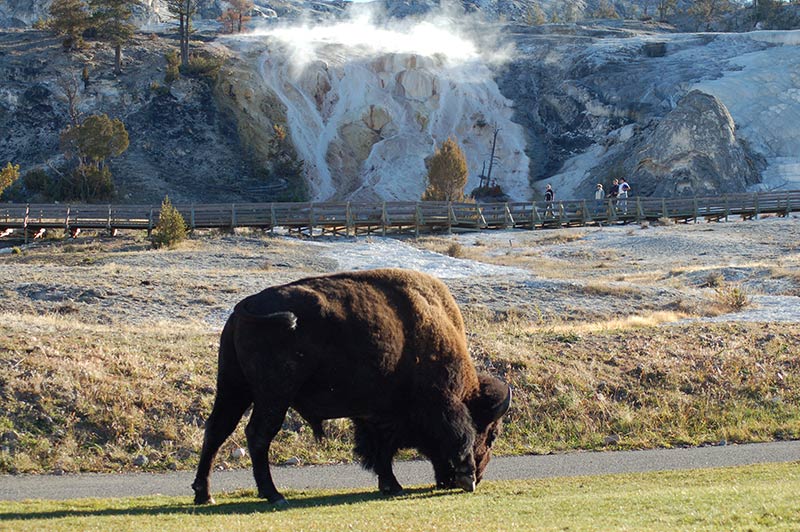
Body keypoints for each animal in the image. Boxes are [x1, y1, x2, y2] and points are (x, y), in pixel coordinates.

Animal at [191, 268, 510, 504]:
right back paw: (274, 495)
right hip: (274, 395)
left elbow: (381, 449)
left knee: (217, 430)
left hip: (234, 387)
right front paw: (466, 477)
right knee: (258, 434)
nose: (480, 476)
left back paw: (204, 494)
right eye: (491, 435)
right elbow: (456, 431)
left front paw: (391, 485)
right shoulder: (439, 400)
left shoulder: (376, 415)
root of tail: (243, 306)